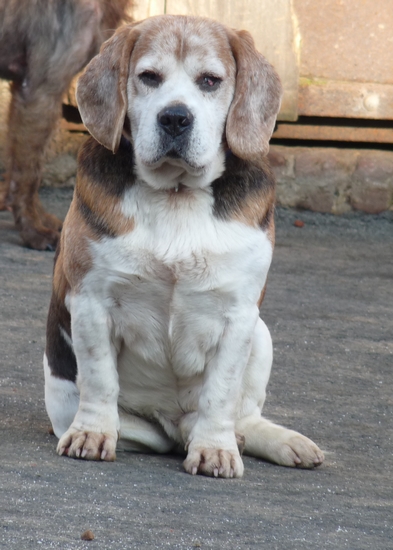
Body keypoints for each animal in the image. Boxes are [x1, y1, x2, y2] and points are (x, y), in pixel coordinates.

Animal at [43, 14, 324, 478]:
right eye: (149, 77)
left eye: (209, 81)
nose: (175, 117)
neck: (176, 195)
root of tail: (174, 425)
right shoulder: (91, 302)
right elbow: (100, 379)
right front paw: (92, 435)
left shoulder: (239, 314)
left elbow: (221, 392)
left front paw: (215, 449)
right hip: (73, 405)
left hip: (262, 334)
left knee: (243, 416)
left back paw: (273, 441)